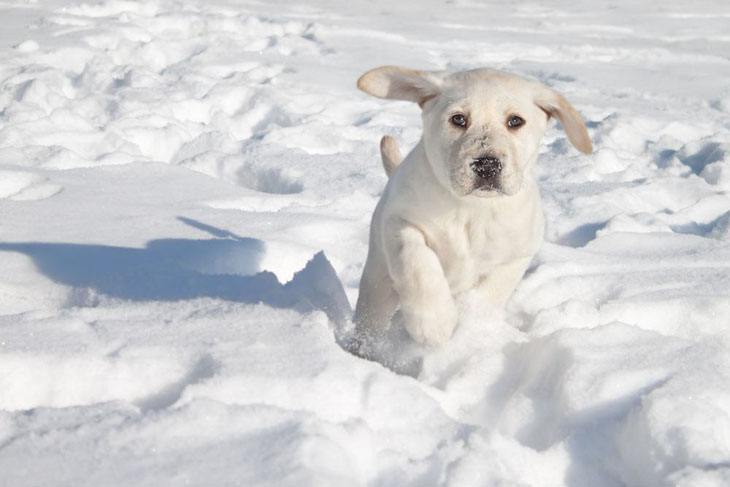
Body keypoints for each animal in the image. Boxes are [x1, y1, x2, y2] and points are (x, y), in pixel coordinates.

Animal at [352, 66, 592, 350]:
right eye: (458, 119)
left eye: (515, 121)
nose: (487, 165)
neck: (473, 209)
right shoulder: (399, 221)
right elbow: (417, 263)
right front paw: (432, 322)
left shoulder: (519, 253)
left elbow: (489, 294)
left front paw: (468, 327)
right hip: (377, 284)